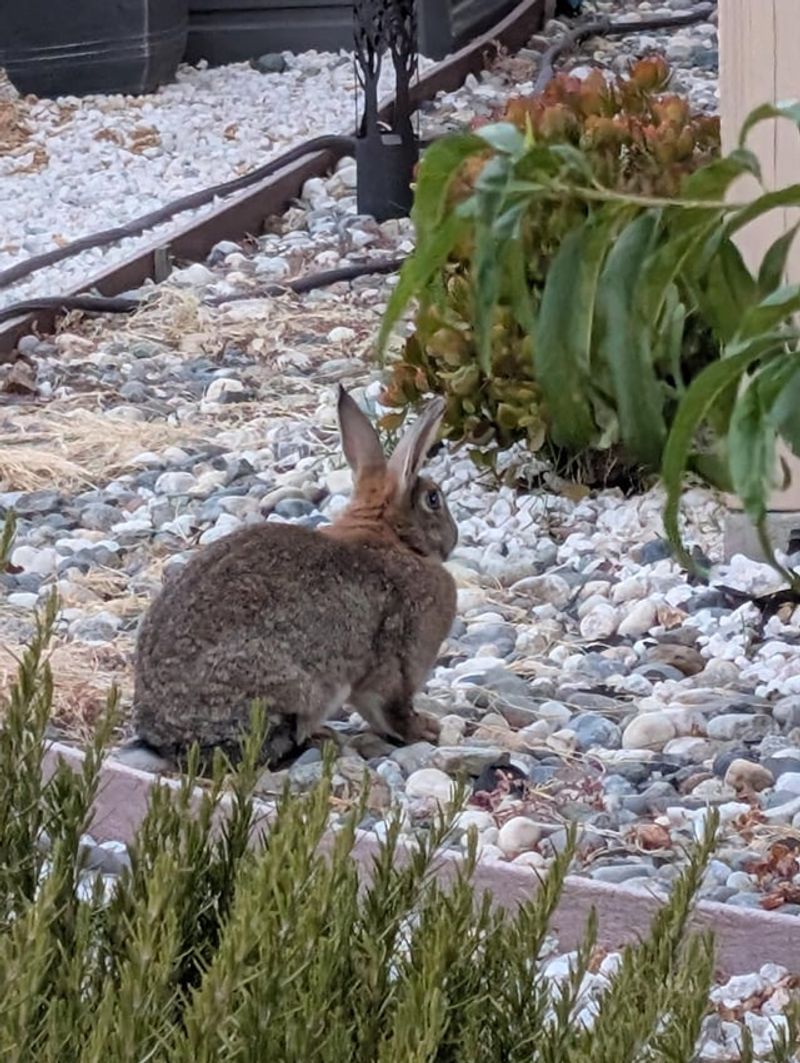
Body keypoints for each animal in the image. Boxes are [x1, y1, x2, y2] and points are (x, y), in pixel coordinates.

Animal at [131, 386, 458, 768]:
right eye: (433, 499)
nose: (454, 537)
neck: (392, 538)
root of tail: (164, 735)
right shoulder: (398, 662)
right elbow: (391, 708)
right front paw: (425, 731)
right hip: (290, 688)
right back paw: (321, 738)